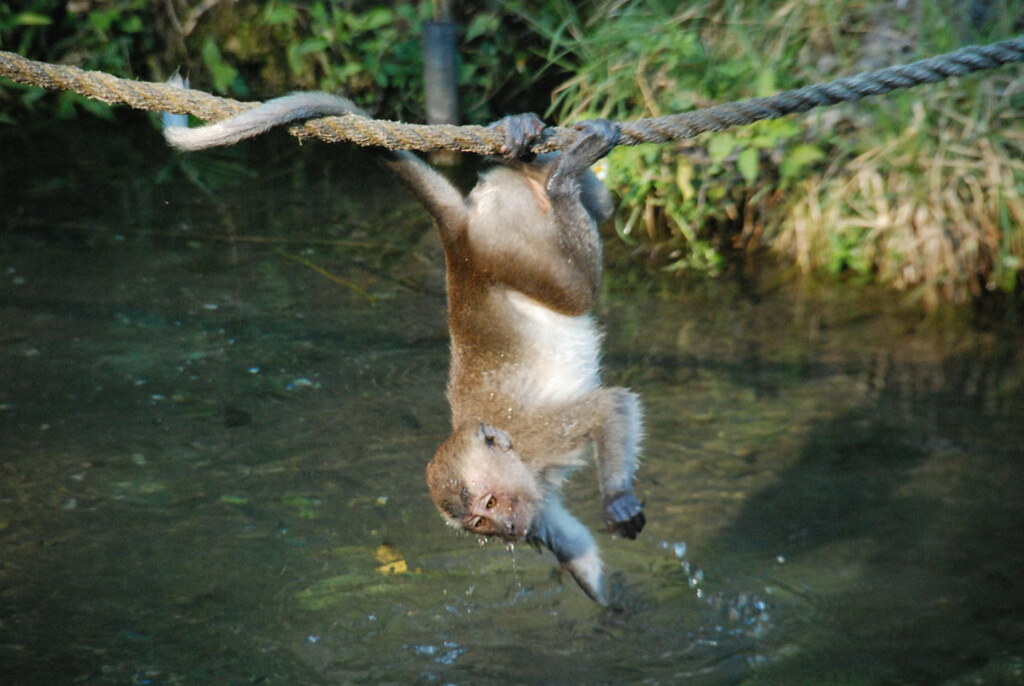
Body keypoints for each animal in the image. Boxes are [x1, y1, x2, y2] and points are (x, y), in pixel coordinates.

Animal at [162, 84, 645, 605]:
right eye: (482, 522)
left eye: (490, 501)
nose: (507, 530)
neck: (515, 455)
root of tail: (459, 244)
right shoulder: (536, 499)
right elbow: (573, 545)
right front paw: (614, 603)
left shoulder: (539, 441)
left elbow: (608, 406)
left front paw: (617, 498)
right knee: (593, 210)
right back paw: (533, 155)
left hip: (512, 249)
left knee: (577, 290)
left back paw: (561, 176)